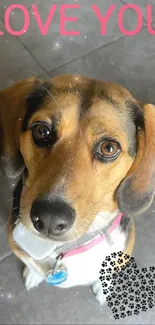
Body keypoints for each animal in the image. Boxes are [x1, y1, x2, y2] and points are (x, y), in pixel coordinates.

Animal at [0, 74, 154, 306]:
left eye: (109, 148)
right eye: (42, 131)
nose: (50, 218)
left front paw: (103, 288)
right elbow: (30, 263)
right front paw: (33, 274)